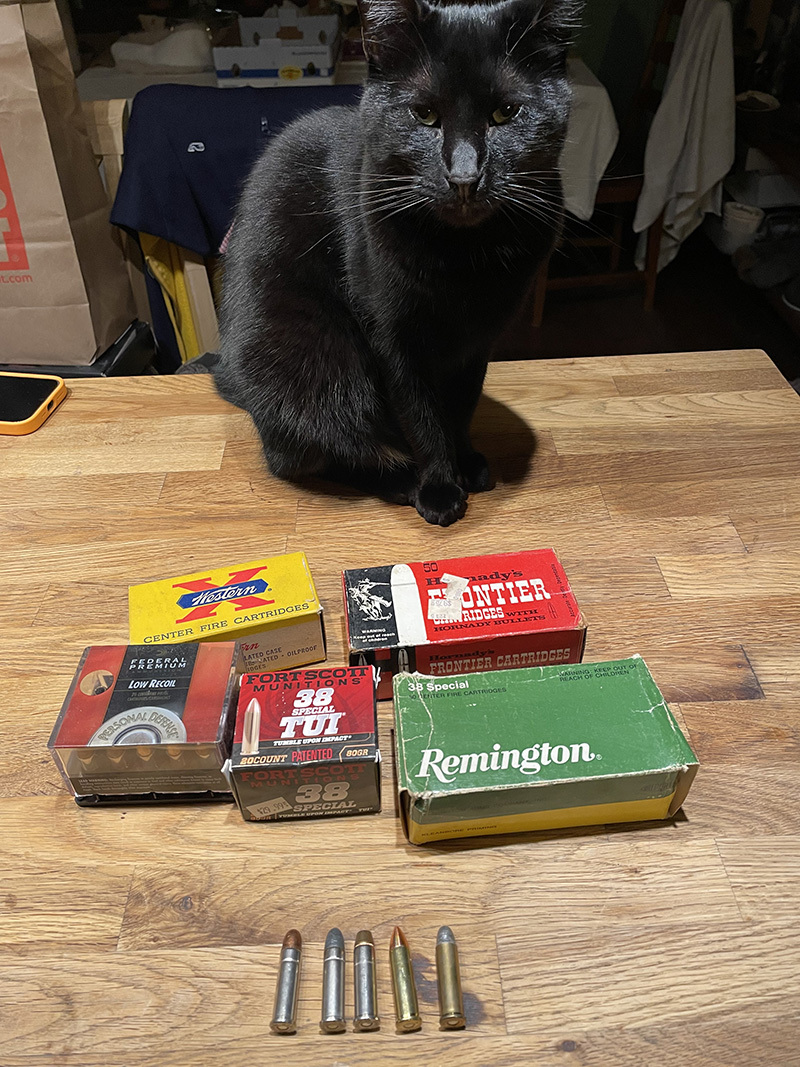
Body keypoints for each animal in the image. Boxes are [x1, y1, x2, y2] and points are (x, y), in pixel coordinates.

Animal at [215, 0, 578, 526]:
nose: (464, 177)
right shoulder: (394, 340)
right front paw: (441, 486)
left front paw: (466, 461)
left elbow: (460, 407)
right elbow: (422, 418)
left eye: (506, 113)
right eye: (424, 114)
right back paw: (402, 481)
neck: (463, 258)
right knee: (312, 455)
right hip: (321, 368)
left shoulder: (478, 341)